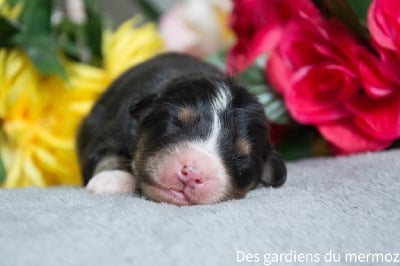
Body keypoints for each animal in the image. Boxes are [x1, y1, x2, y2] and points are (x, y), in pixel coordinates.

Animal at [76, 52, 286, 206]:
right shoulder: (115, 128)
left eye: (241, 157)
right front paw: (113, 179)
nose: (192, 173)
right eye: (176, 123)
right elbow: (107, 152)